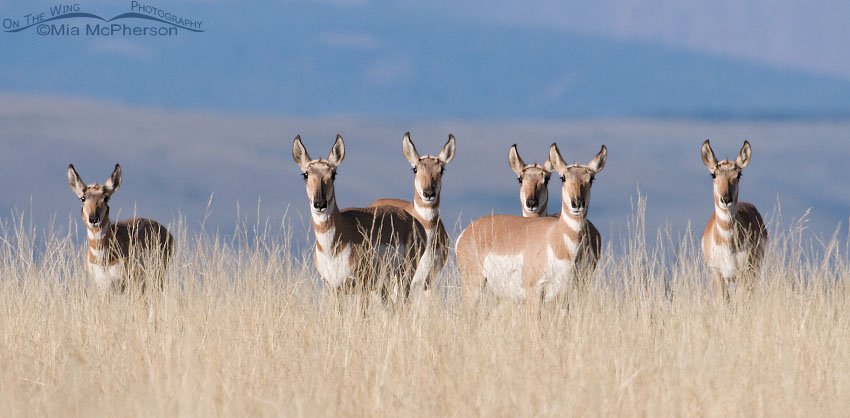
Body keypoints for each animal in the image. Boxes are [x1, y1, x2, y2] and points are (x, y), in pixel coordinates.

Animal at [293, 134, 426, 305]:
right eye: (306, 174)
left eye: (333, 174)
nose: (320, 204)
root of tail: (413, 220)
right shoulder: (333, 289)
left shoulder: (363, 288)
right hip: (385, 285)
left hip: (405, 277)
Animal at [456, 143, 605, 312]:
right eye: (563, 177)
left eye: (591, 179)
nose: (577, 203)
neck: (556, 238)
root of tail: (467, 231)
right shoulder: (534, 291)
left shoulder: (563, 295)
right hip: (474, 285)